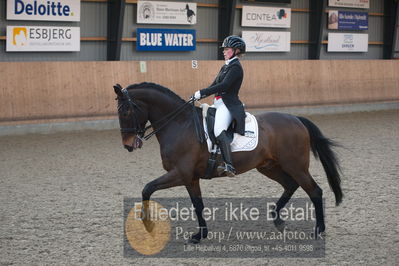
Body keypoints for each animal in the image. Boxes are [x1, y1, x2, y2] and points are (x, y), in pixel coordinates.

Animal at [113, 82, 344, 242]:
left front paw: (148, 225)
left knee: (314, 191)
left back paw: (318, 230)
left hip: (295, 166)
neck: (179, 124)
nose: (127, 145)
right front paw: (200, 235)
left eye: (126, 111)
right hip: (269, 166)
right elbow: (197, 204)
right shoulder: (191, 178)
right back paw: (277, 219)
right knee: (290, 185)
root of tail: (296, 119)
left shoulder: (180, 173)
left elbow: (147, 188)